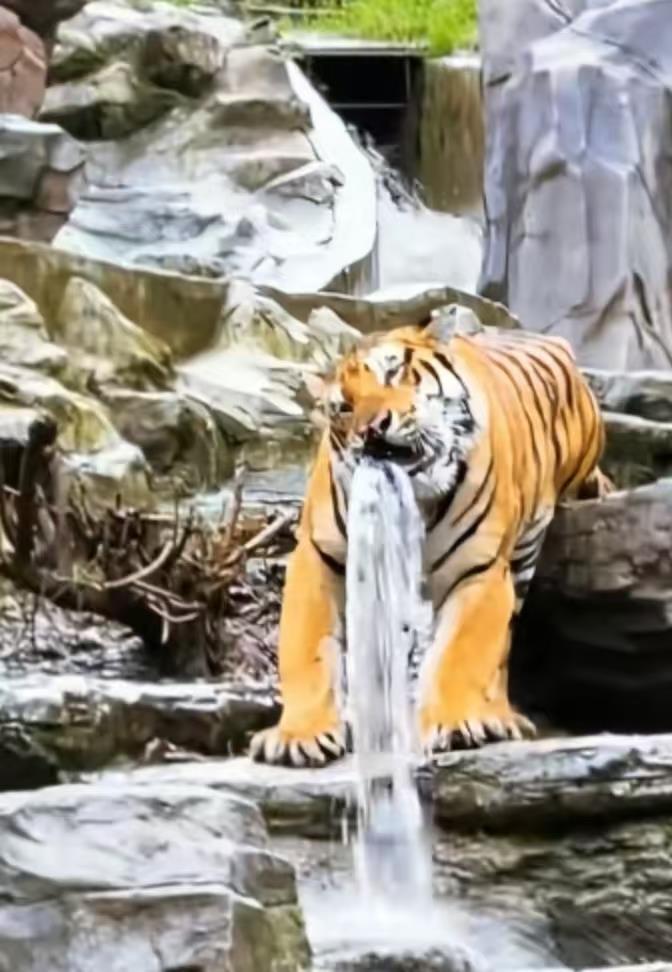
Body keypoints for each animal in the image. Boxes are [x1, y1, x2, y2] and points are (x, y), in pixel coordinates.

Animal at [250, 305, 609, 767]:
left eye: (393, 372)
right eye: (344, 407)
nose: (372, 429)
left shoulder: (479, 571)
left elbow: (461, 652)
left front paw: (455, 725)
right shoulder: (319, 558)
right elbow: (306, 652)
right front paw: (299, 735)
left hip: (526, 554)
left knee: (502, 647)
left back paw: (497, 715)